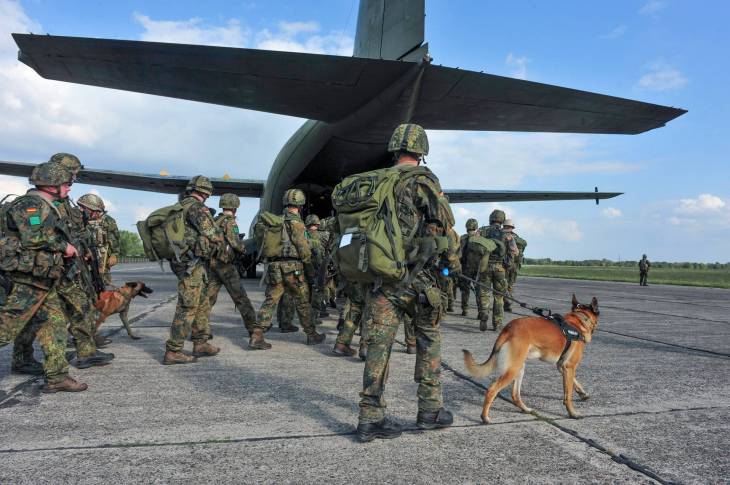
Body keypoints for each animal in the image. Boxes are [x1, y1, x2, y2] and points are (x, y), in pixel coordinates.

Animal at [460, 294, 596, 422]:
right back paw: (485, 417)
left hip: (519, 368)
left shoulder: (562, 366)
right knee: (492, 390)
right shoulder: (569, 366)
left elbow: (573, 382)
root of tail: (508, 328)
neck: (579, 320)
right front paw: (573, 413)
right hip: (513, 369)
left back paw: (525, 409)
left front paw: (583, 393)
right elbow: (568, 394)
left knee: (515, 395)